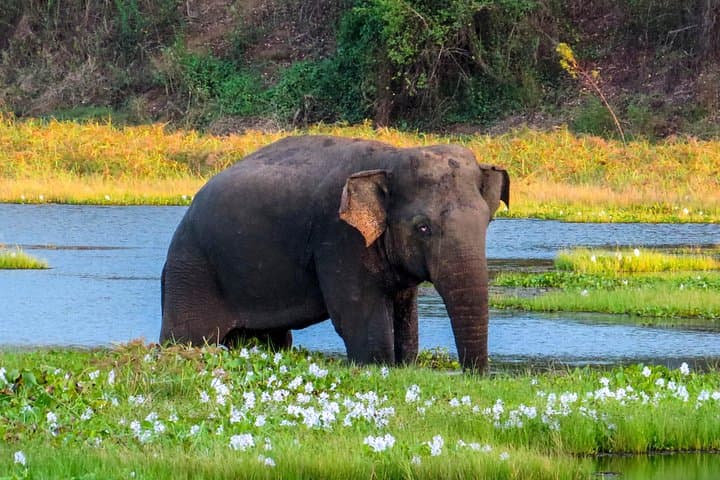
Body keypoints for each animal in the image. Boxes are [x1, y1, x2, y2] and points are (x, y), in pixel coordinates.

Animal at [160, 135, 509, 370]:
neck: (391, 158)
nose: (474, 376)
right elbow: (356, 318)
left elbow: (405, 318)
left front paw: (403, 365)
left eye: (487, 222)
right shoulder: (339, 238)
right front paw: (378, 367)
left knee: (272, 339)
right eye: (423, 228)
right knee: (187, 336)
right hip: (192, 271)